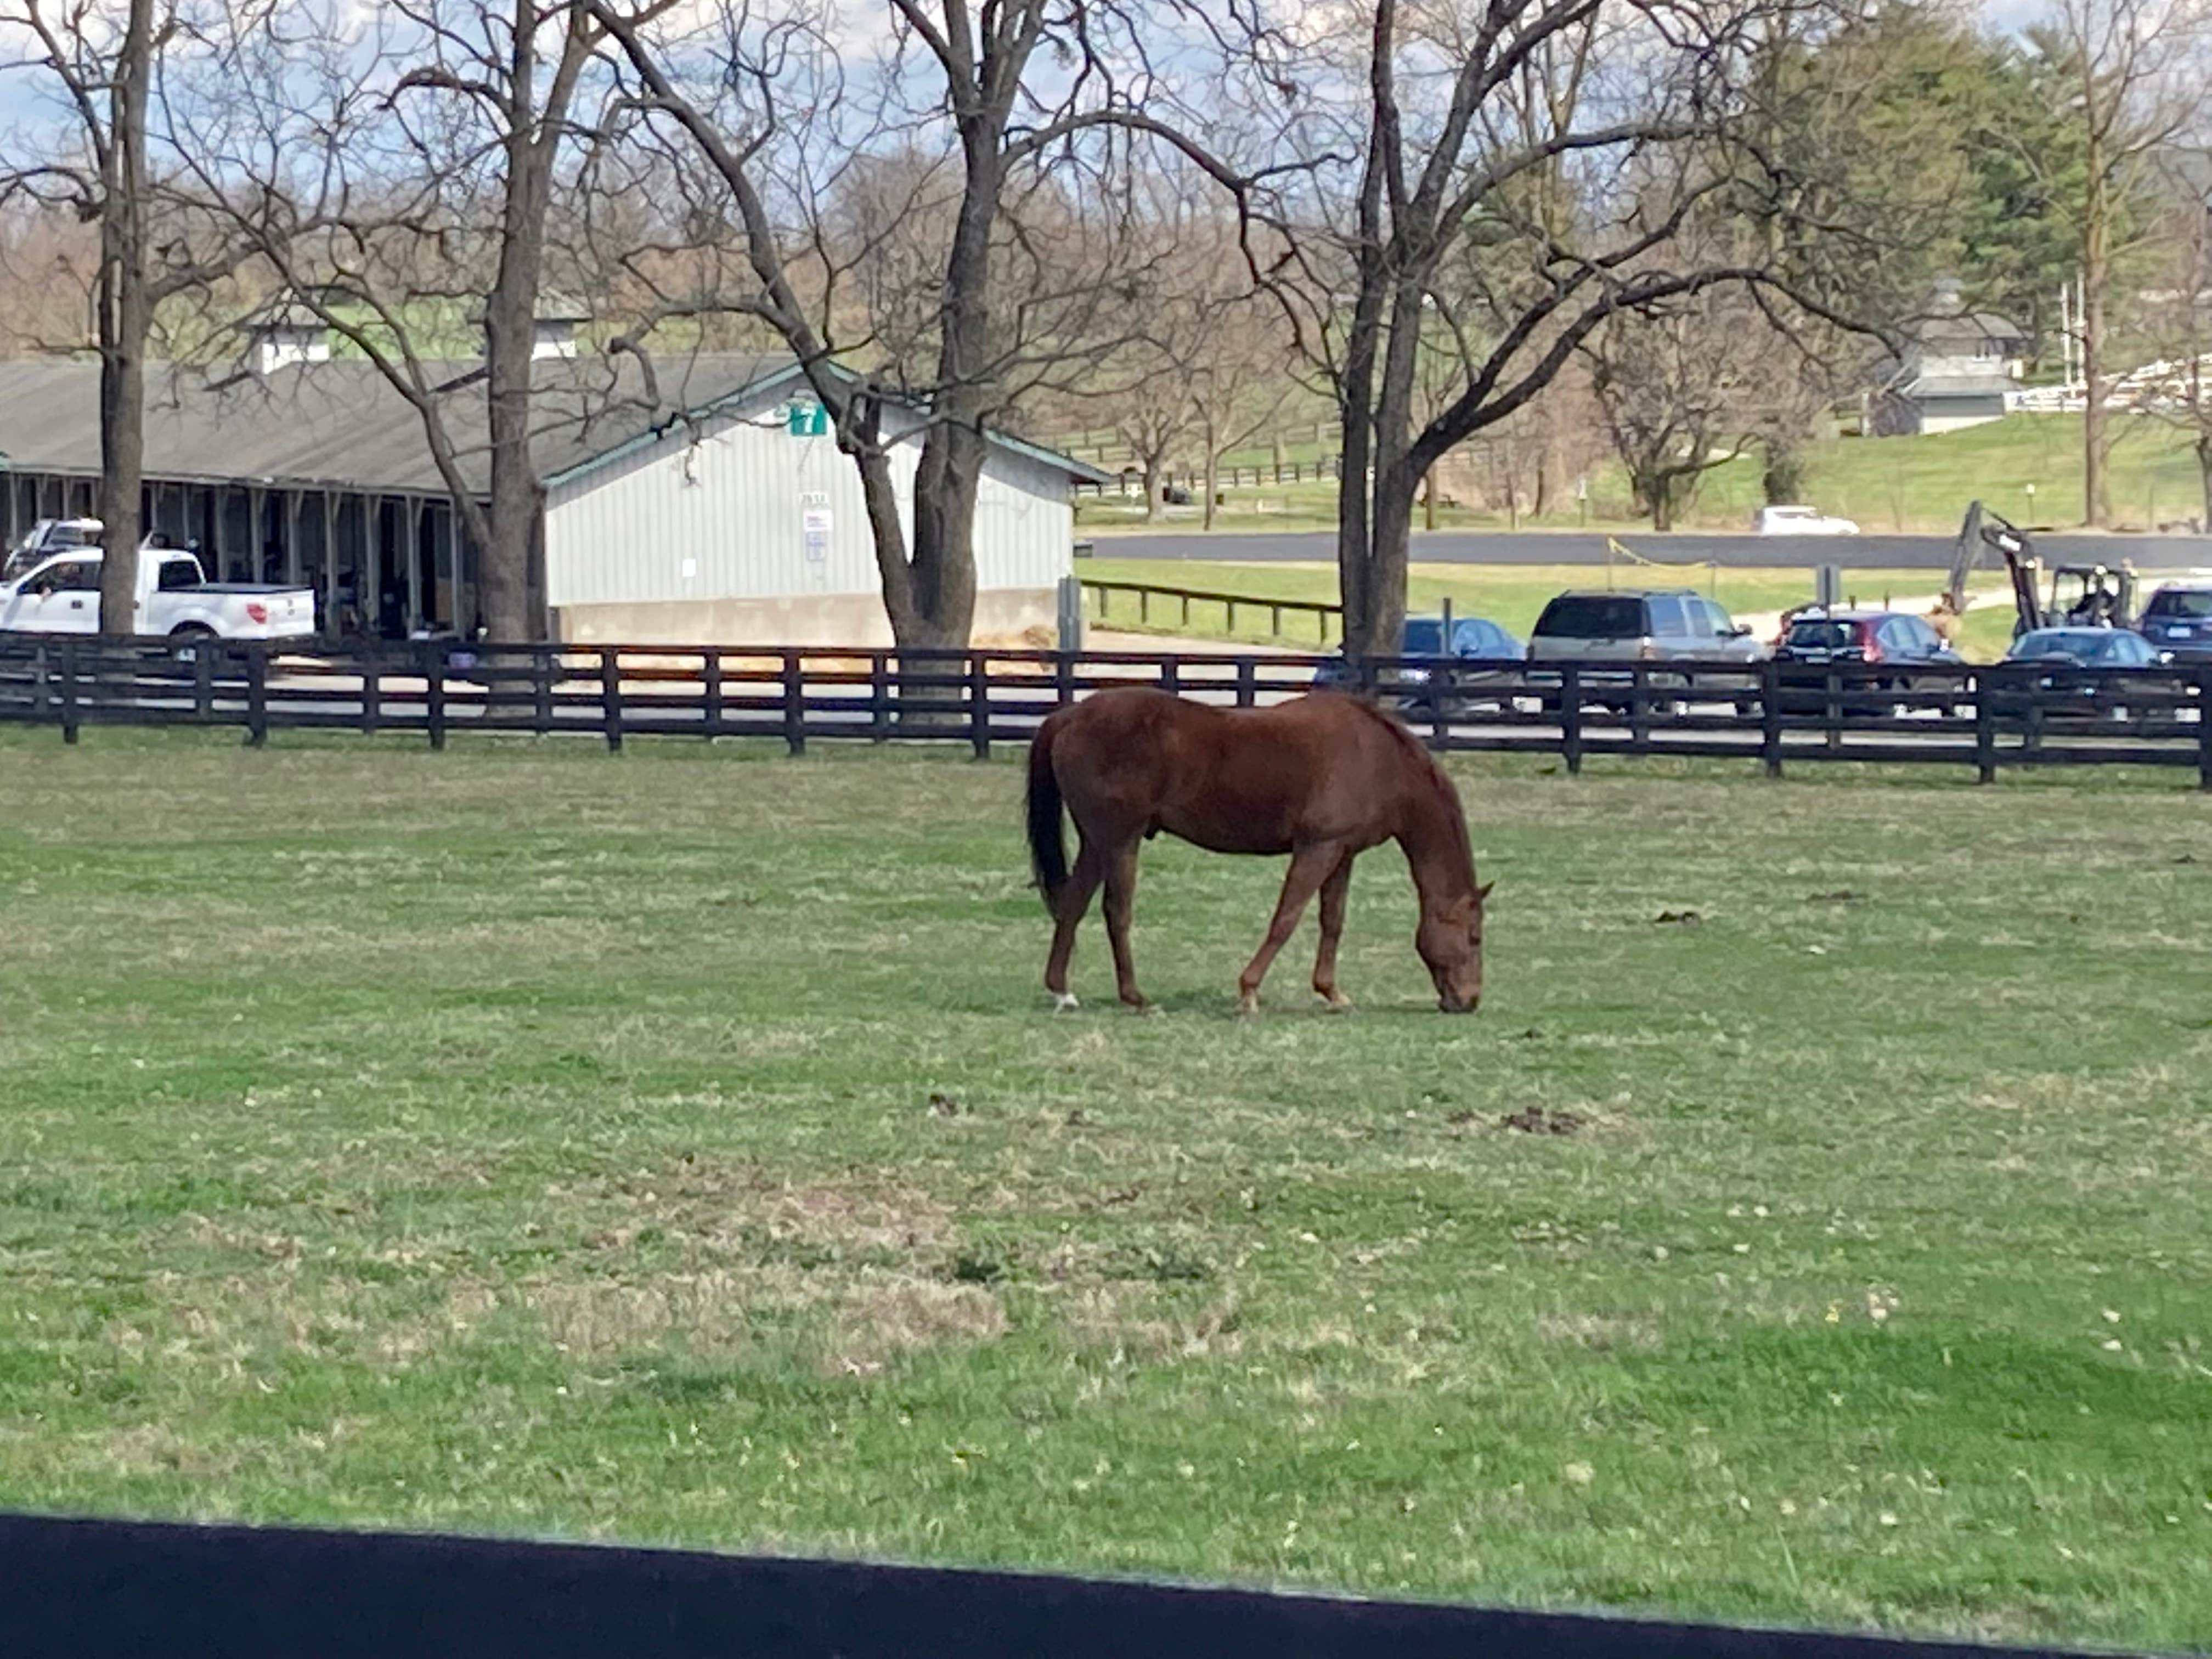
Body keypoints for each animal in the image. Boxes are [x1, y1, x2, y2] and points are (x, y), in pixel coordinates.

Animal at [1024, 687, 1493, 1014]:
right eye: (1474, 937)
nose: (1469, 1000)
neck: (1380, 761)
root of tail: (1069, 716)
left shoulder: (1342, 854)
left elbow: (1333, 923)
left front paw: (1332, 992)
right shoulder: (1317, 849)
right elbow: (1285, 919)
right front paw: (1249, 992)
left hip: (1098, 842)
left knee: (1072, 904)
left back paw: (1063, 991)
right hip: (1121, 840)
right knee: (1116, 913)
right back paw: (1136, 997)